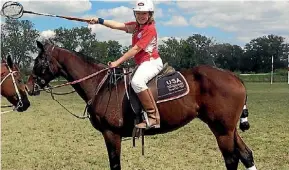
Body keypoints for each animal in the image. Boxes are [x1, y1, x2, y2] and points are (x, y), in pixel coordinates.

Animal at [25, 40, 255, 169]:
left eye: (38, 62)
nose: (28, 87)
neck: (102, 85)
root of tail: (234, 77)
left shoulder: (111, 133)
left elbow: (115, 164)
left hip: (221, 130)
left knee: (232, 159)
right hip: (228, 129)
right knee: (246, 155)